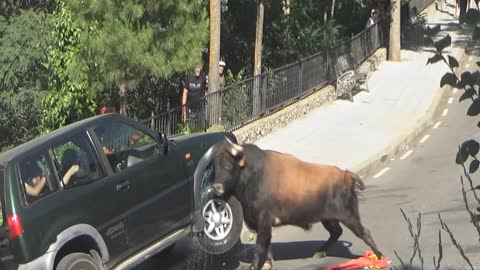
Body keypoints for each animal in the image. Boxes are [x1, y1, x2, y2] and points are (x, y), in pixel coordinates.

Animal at [212, 139, 384, 270]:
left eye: (228, 165)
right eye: (213, 168)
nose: (216, 188)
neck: (253, 174)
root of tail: (346, 175)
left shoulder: (263, 221)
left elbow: (261, 246)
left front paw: (255, 266)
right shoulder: (260, 224)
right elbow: (266, 246)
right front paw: (267, 263)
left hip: (349, 217)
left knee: (364, 233)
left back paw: (380, 257)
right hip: (328, 218)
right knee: (336, 232)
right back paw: (320, 252)